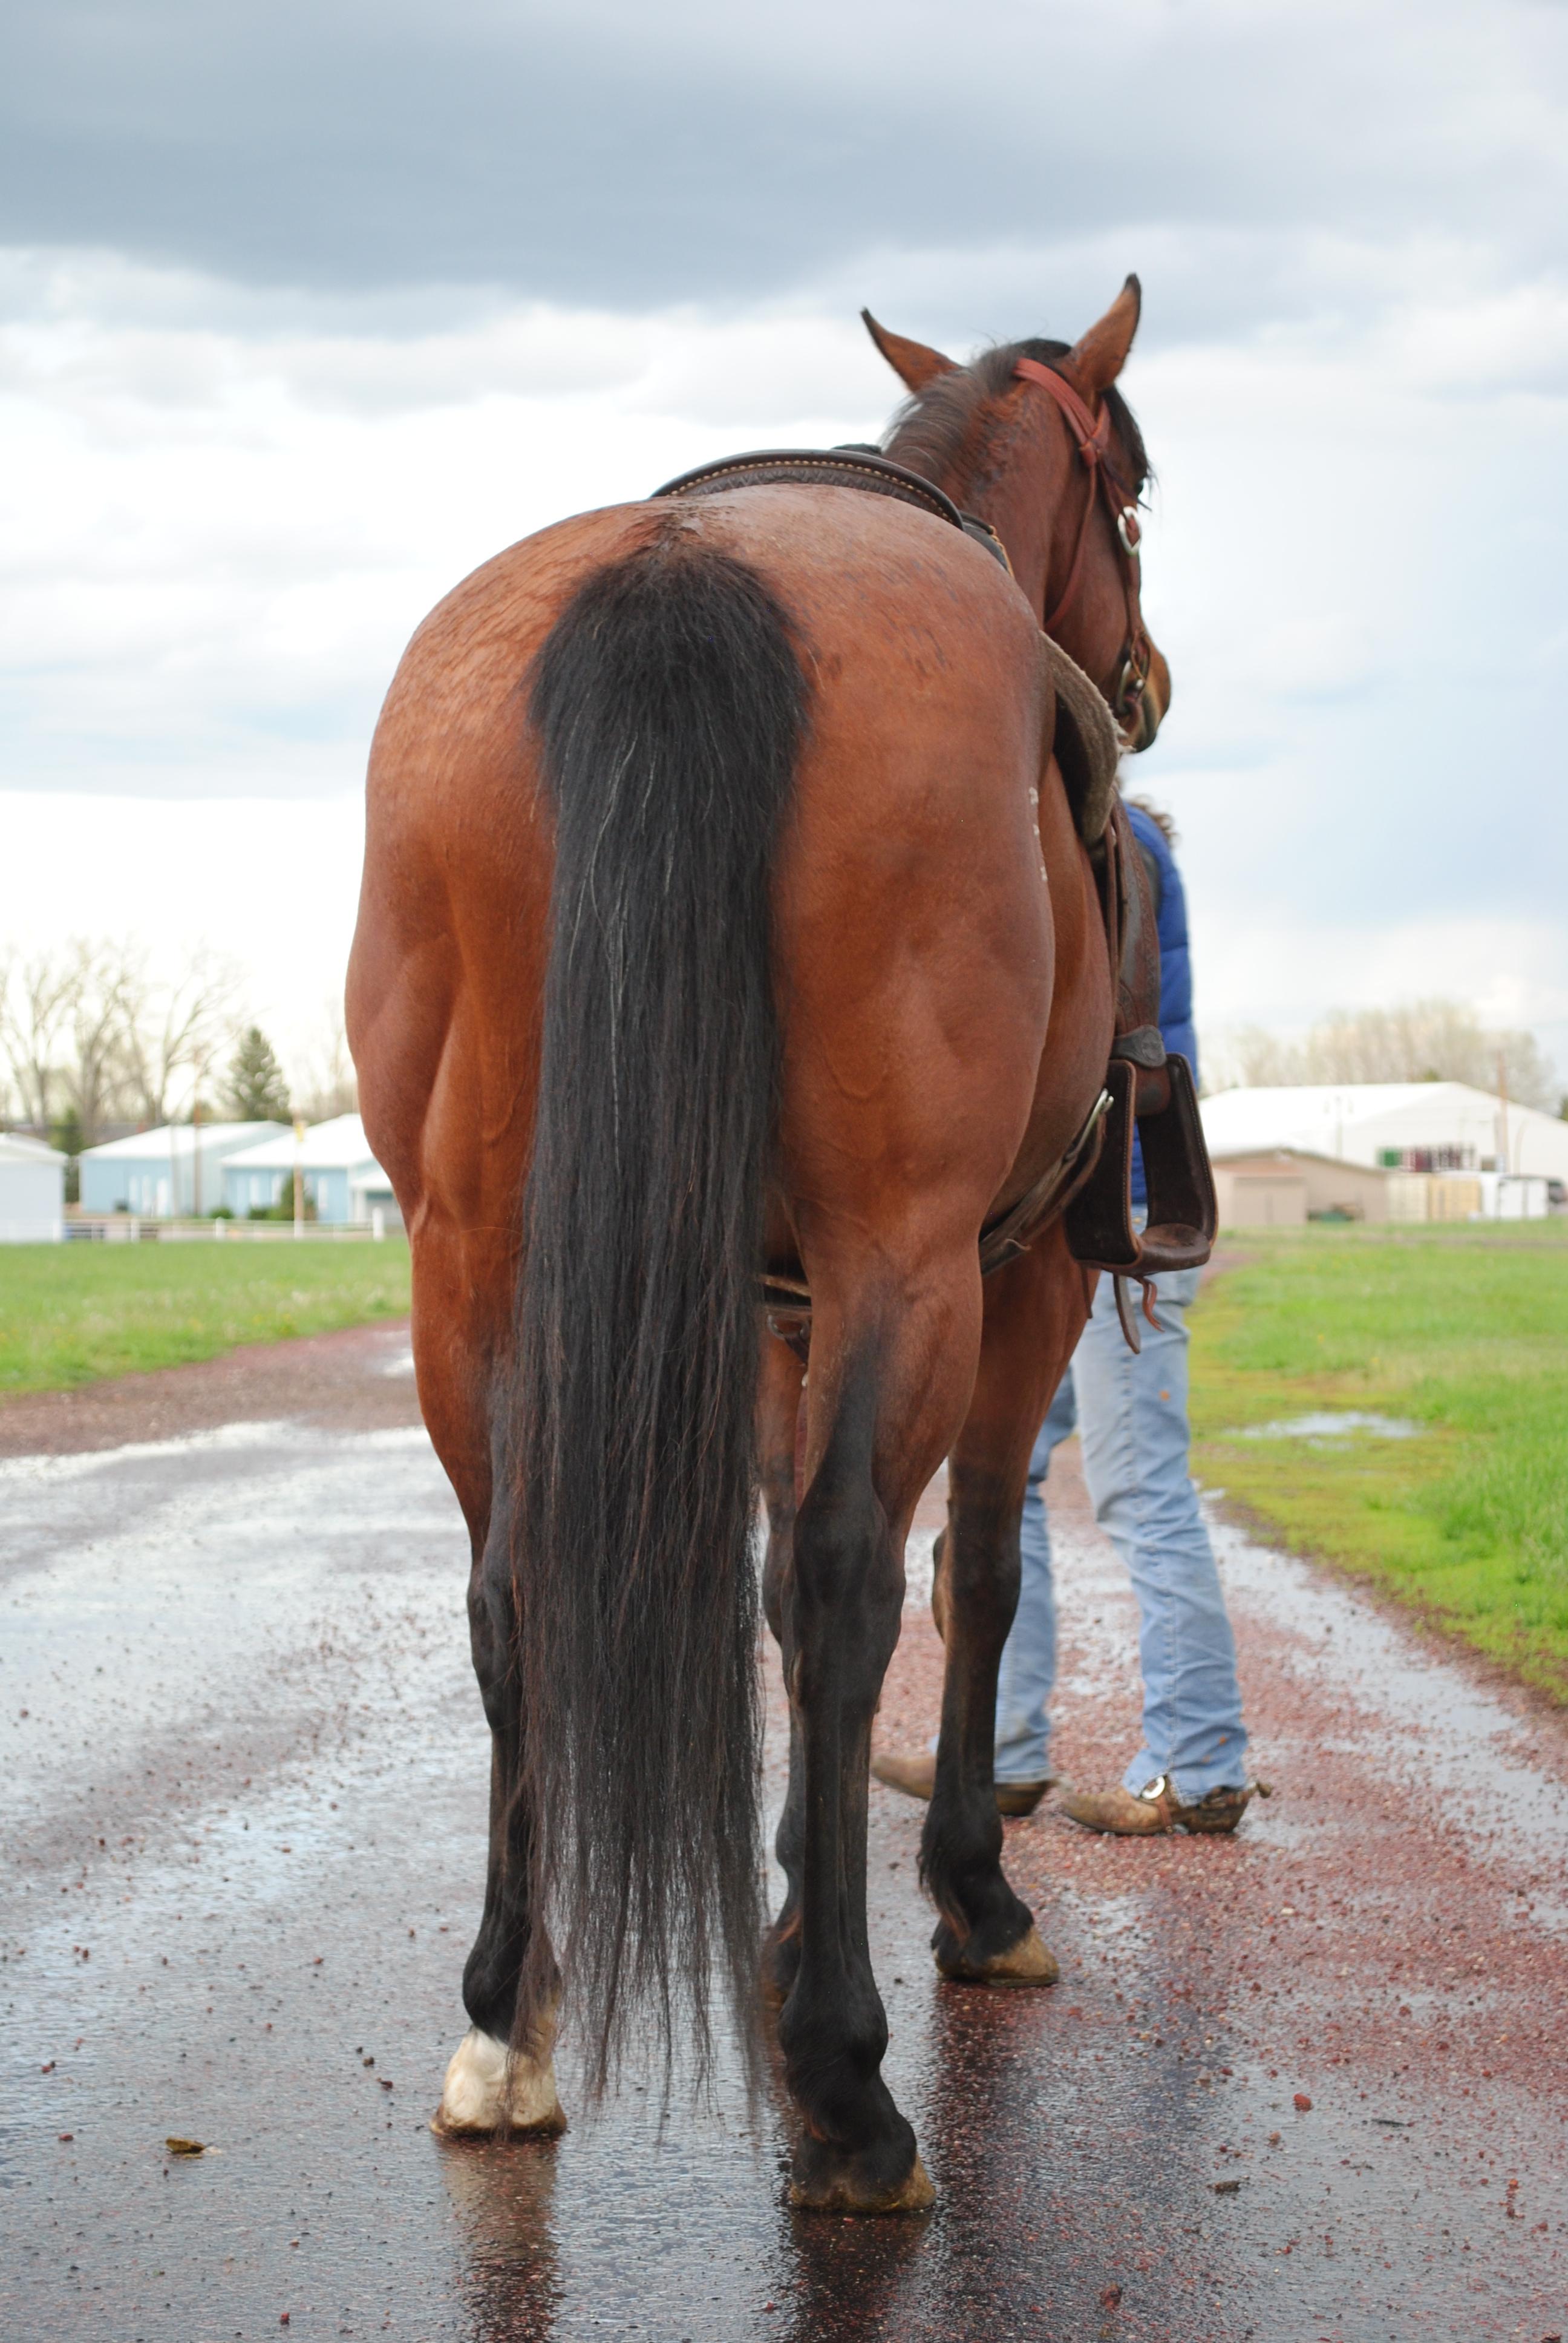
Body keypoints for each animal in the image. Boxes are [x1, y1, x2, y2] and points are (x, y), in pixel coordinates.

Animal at [349, 274, 1167, 2212]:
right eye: (1137, 498)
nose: (1149, 681)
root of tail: (681, 574)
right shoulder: (1009, 1279)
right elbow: (963, 1576)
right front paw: (952, 1903)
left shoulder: (782, 1310)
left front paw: (803, 1905)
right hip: (911, 1257)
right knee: (855, 1575)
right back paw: (853, 2089)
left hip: (467, 1262)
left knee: (514, 1589)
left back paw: (508, 2020)